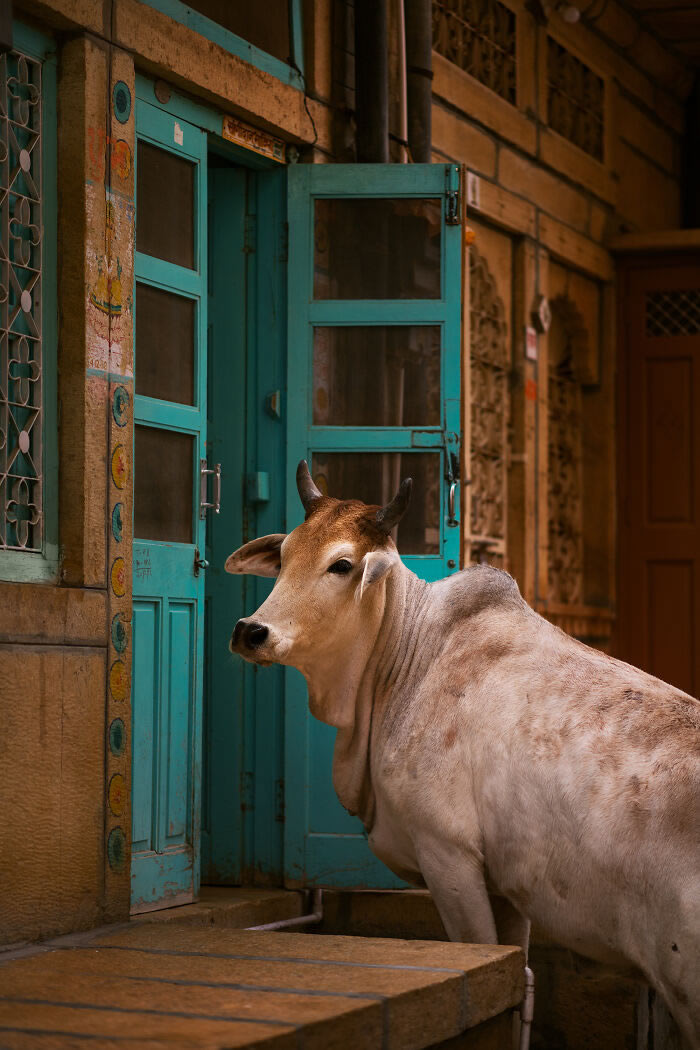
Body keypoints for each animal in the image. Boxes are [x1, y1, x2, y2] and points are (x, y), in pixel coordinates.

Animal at [227, 464, 700, 1045]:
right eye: (287, 552)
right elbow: (515, 974)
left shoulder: (448, 855)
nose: (251, 631)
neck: (407, 657)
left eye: (341, 565)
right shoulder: (508, 887)